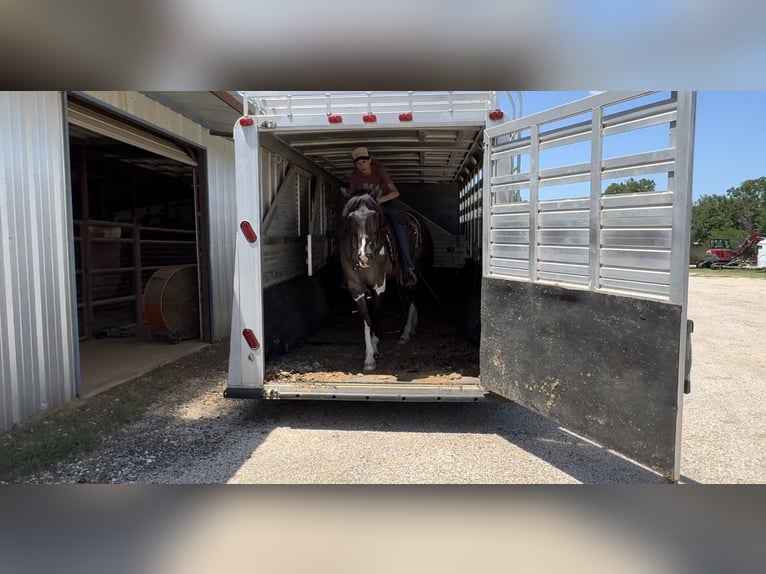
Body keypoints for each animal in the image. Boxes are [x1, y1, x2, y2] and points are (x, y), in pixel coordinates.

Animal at [340, 195, 432, 374]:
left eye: (375, 216)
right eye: (351, 218)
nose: (365, 256)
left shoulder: (379, 285)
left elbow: (376, 315)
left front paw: (375, 347)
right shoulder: (355, 288)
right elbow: (367, 319)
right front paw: (369, 358)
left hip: (415, 272)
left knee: (413, 298)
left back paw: (405, 333)